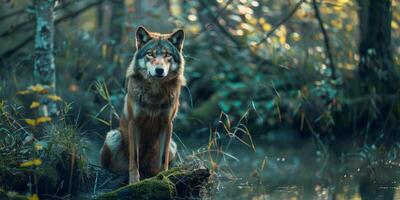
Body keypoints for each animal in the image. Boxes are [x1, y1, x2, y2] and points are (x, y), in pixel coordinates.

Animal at [101, 25, 186, 184]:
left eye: (167, 55)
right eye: (150, 54)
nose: (159, 70)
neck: (155, 93)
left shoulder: (167, 124)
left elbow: (163, 158)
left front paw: (163, 177)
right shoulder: (135, 123)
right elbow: (134, 159)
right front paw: (134, 182)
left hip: (173, 145)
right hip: (113, 136)